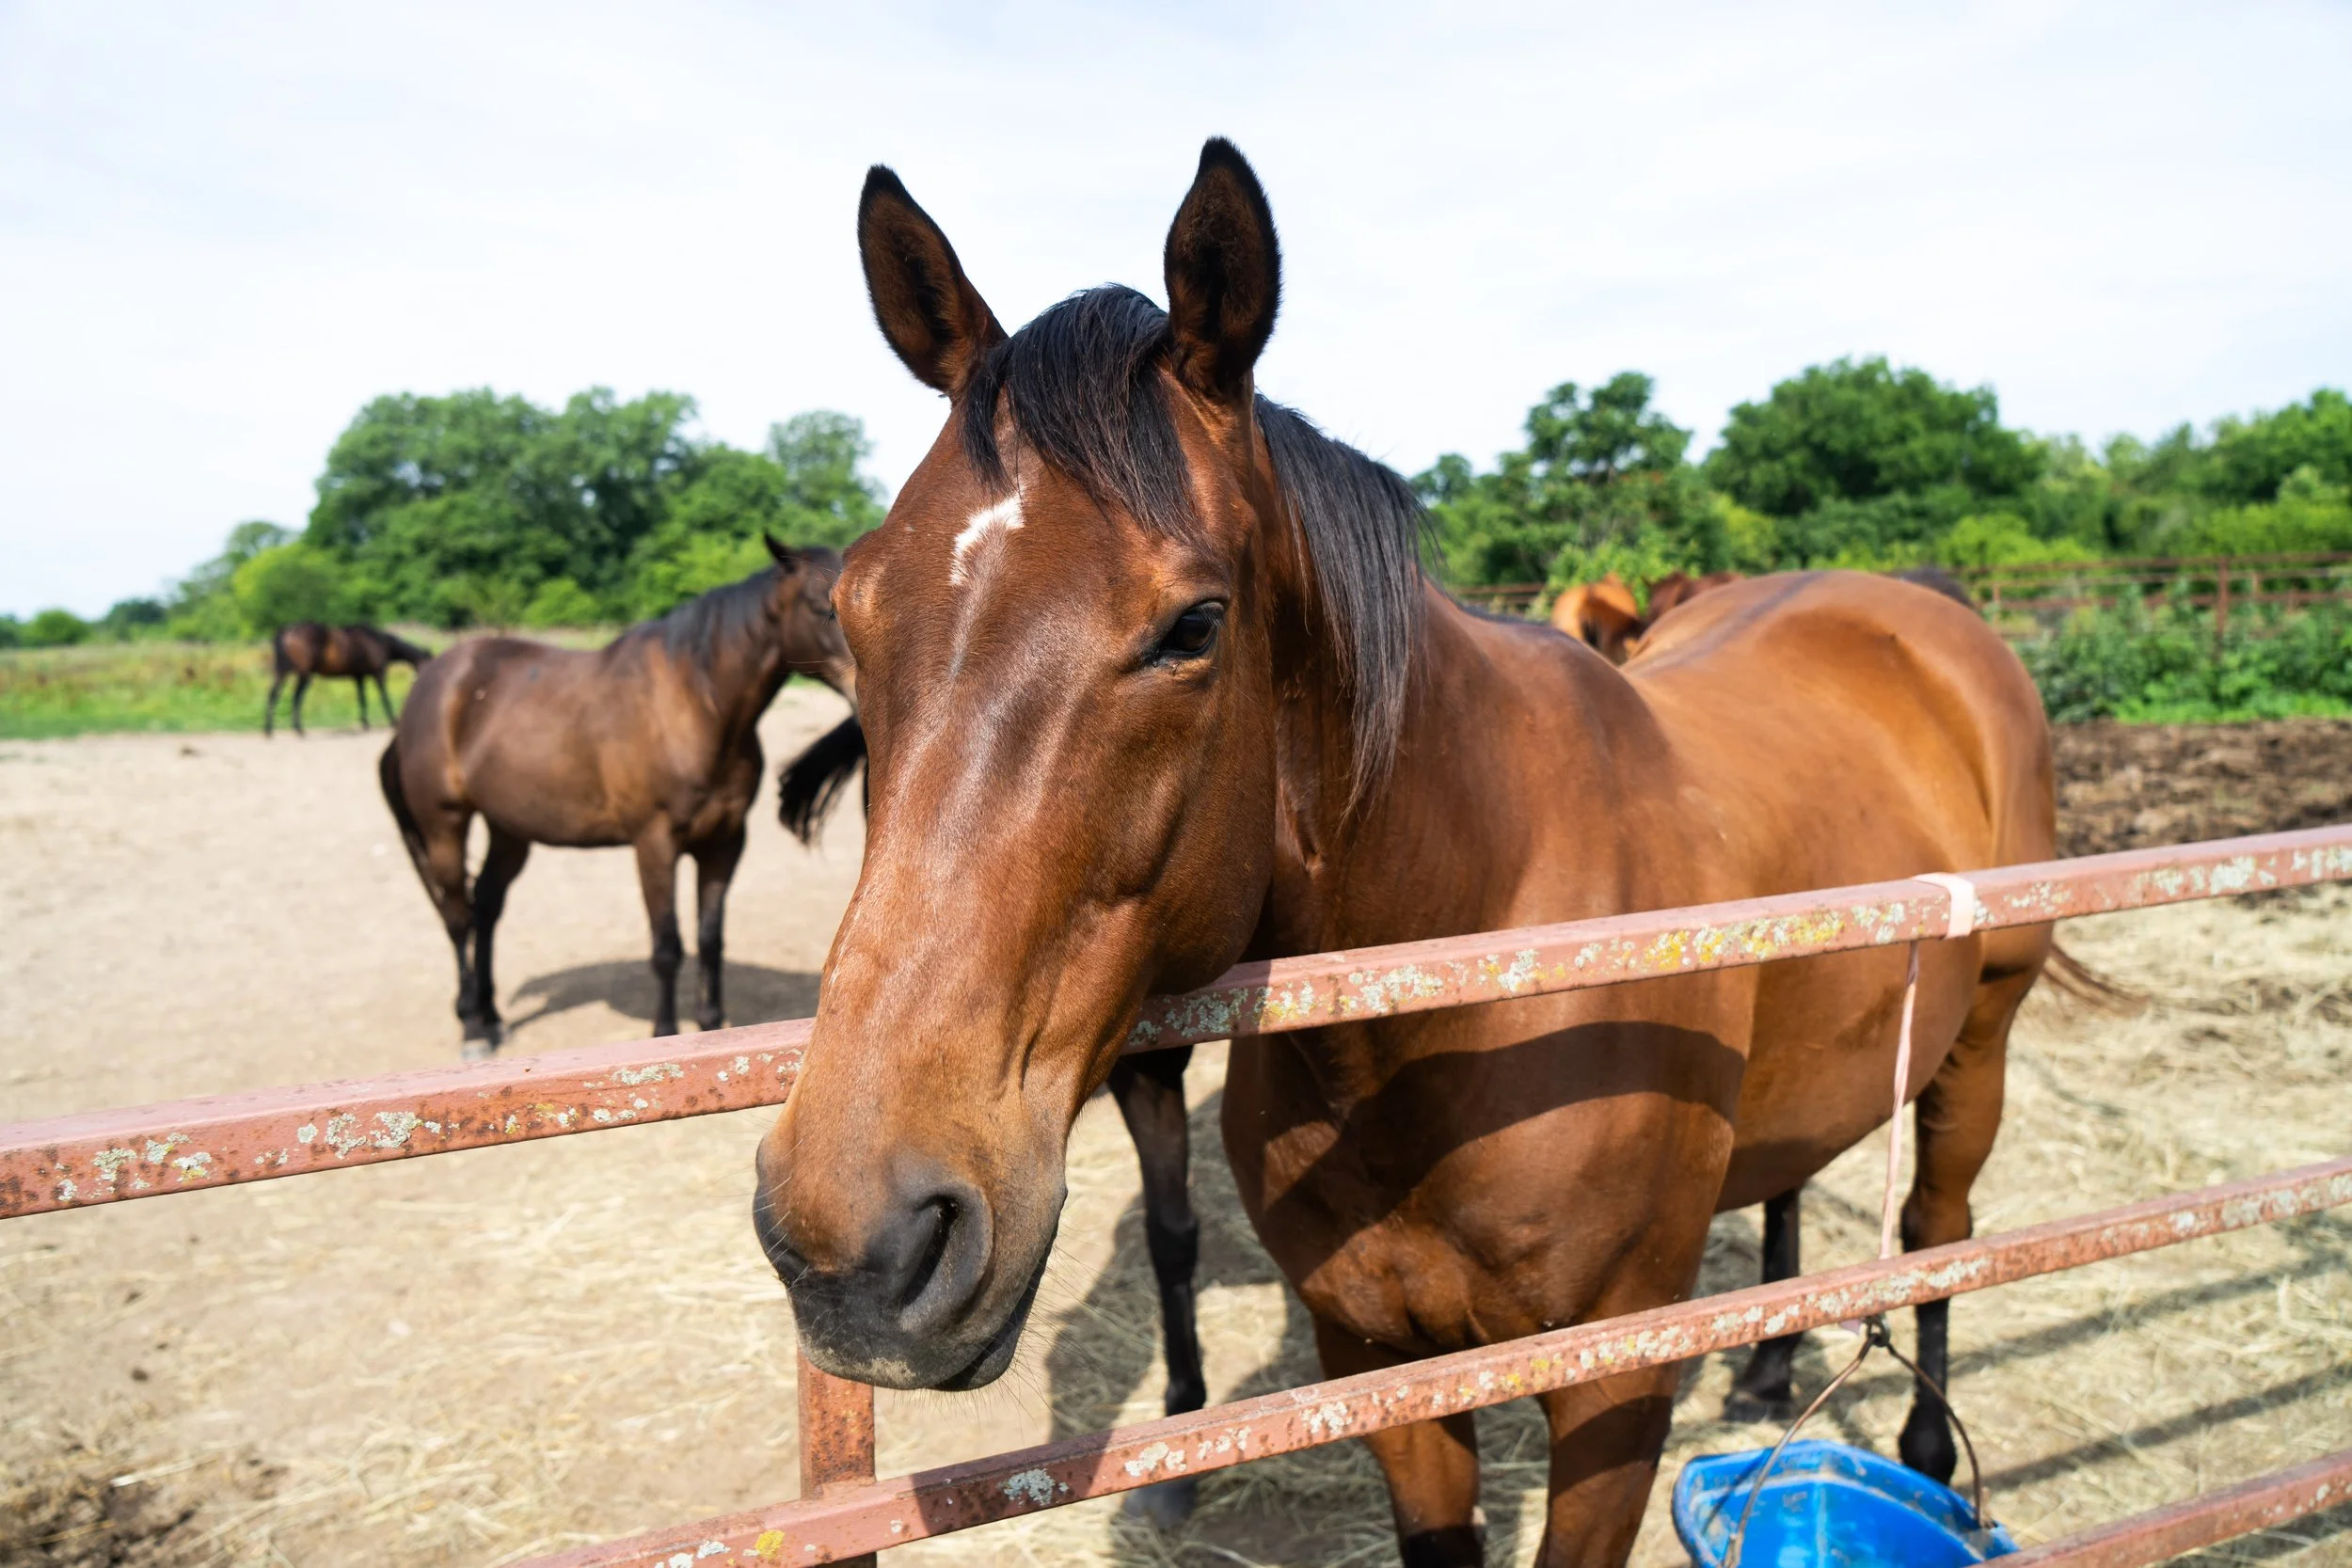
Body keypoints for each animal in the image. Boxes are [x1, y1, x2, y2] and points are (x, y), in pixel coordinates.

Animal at [264, 622, 433, 736]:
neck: (377, 642)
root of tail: (287, 631)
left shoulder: (359, 677)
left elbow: (362, 698)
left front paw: (365, 723)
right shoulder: (378, 675)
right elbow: (384, 698)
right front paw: (394, 721)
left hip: (283, 672)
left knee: (273, 695)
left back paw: (269, 730)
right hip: (304, 674)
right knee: (296, 696)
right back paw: (298, 729)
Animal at [381, 538, 855, 1055]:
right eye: (822, 607)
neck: (694, 705)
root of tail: (432, 680)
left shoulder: (725, 843)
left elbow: (710, 941)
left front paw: (711, 1026)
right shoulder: (654, 843)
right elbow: (667, 947)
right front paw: (664, 1033)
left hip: (509, 829)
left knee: (485, 908)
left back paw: (492, 1017)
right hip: (445, 825)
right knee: (457, 917)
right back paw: (472, 1028)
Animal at [751, 143, 2054, 1567]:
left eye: (1193, 624)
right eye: (852, 614)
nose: (858, 1241)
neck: (1469, 982)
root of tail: (1926, 615)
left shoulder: (1611, 1392)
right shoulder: (1380, 1361)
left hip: (1982, 1039)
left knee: (1938, 1232)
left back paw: (1926, 1452)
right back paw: (1767, 1371)